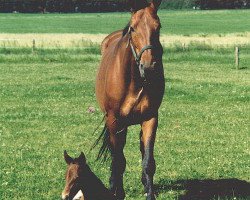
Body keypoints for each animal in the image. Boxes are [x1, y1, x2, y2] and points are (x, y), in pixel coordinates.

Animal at [95, 0, 164, 200]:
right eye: (133, 28)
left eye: (158, 27)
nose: (149, 67)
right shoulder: (114, 120)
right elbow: (118, 159)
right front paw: (117, 191)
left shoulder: (150, 118)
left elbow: (148, 161)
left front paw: (150, 193)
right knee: (115, 154)